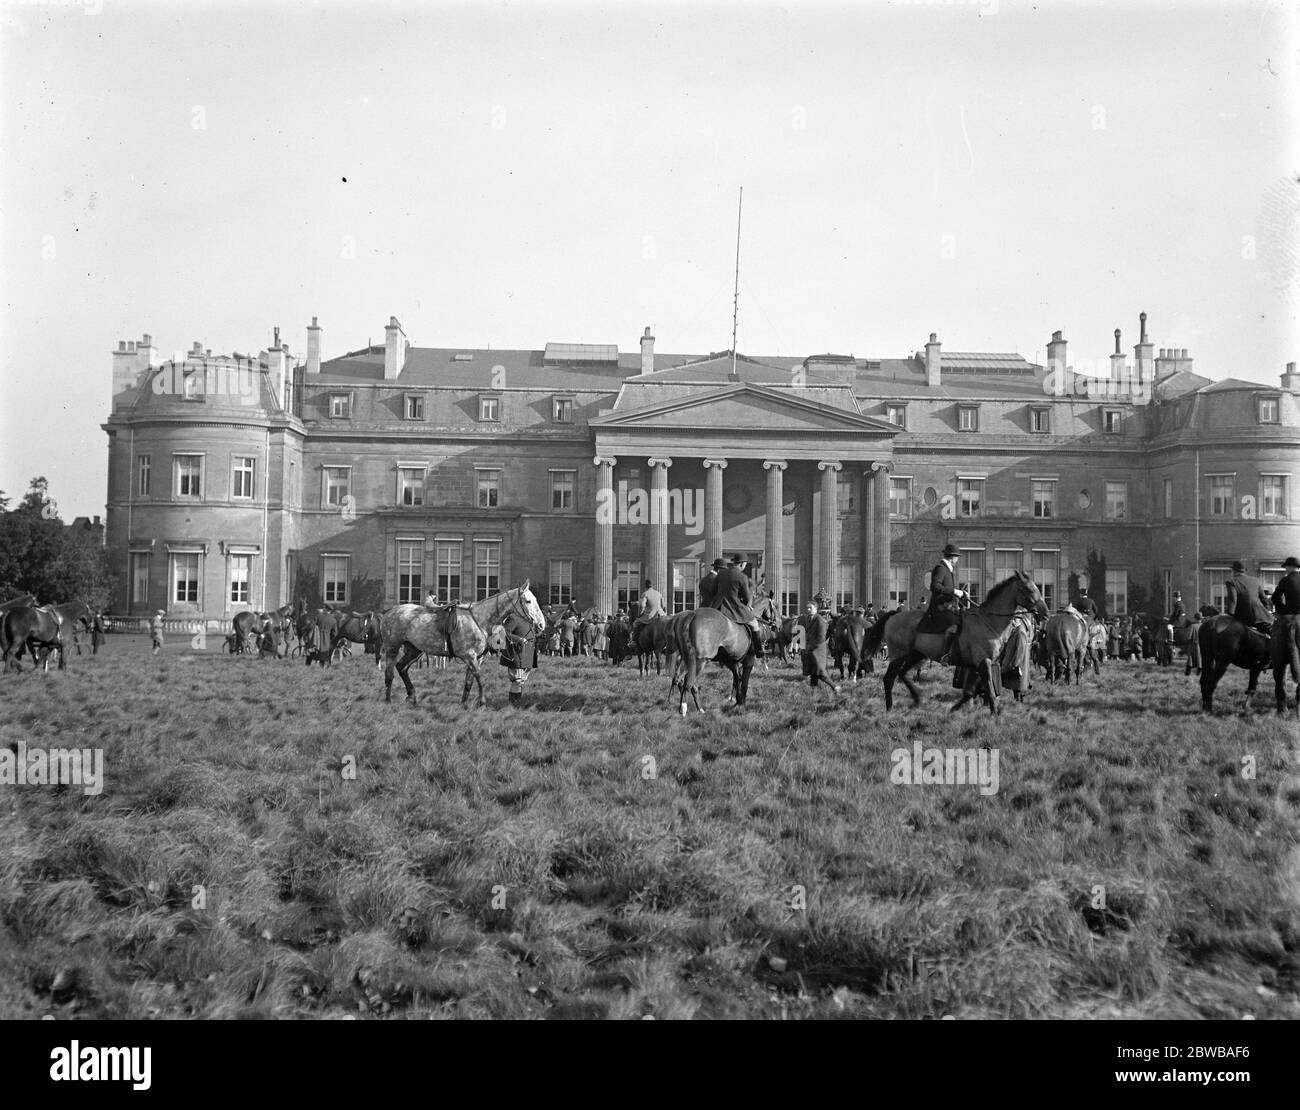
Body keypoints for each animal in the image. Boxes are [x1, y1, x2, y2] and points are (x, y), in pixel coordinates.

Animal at [377, 577, 543, 707]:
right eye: (528, 601)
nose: (541, 624)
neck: (479, 619)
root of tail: (389, 612)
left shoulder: (478, 658)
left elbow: (469, 682)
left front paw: (464, 703)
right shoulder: (469, 656)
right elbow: (479, 678)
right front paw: (482, 702)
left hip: (414, 649)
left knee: (402, 668)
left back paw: (411, 696)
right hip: (392, 647)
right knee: (389, 673)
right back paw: (388, 700)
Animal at [863, 569, 1055, 717]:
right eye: (1028, 589)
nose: (1045, 614)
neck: (989, 621)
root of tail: (894, 615)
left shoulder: (977, 665)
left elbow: (972, 691)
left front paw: (955, 708)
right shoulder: (984, 662)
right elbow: (988, 688)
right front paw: (994, 711)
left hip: (916, 654)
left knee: (902, 674)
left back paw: (916, 698)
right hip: (898, 655)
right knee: (889, 678)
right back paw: (890, 707)